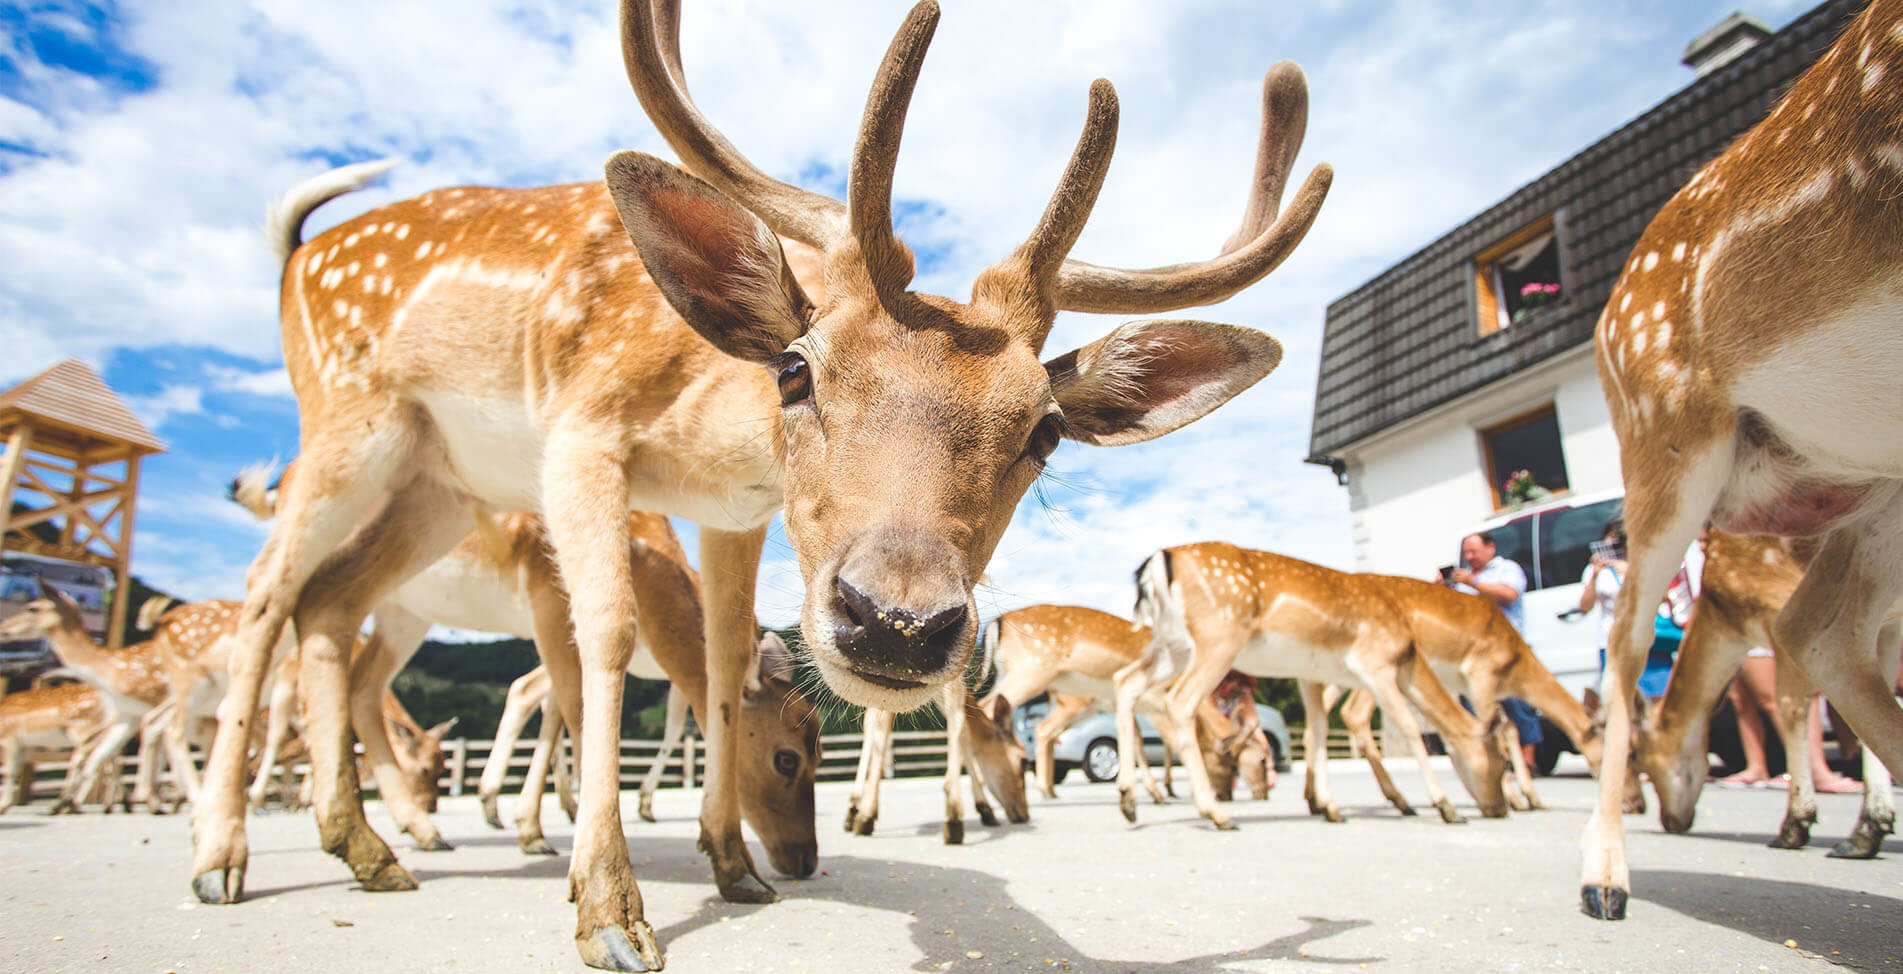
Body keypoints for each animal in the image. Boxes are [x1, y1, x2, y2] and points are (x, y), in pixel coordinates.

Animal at [189, 0, 1324, 966]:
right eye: (796, 368)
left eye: (1044, 430)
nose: (898, 622)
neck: (703, 430)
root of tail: (296, 255)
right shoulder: (580, 432)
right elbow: (606, 637)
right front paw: (608, 912)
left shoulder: (729, 515)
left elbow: (728, 662)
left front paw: (734, 870)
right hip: (345, 423)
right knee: (262, 598)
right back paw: (220, 855)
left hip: (438, 486)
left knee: (327, 605)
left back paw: (367, 848)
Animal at [1118, 540, 1507, 829]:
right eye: (1502, 761)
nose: (1501, 809)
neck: (1406, 652)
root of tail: (1156, 562)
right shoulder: (1376, 664)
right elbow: (1410, 726)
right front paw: (1446, 808)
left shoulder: (1310, 674)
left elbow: (1316, 731)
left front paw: (1331, 808)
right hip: (1219, 636)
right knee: (1180, 701)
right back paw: (1217, 814)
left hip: (1173, 645)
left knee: (1126, 681)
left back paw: (1129, 801)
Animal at [1628, 528, 1895, 856]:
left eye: (1637, 756)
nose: (1669, 821)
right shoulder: (1885, 630)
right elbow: (1869, 718)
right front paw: (1868, 831)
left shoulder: (1780, 607)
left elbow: (1791, 707)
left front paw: (1794, 826)